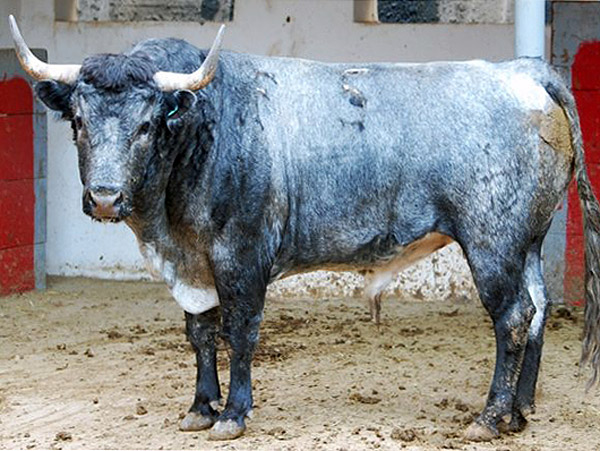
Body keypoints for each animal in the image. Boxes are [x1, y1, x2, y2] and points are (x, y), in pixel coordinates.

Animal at [9, 15, 600, 442]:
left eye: (148, 124)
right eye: (78, 121)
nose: (105, 197)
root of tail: (521, 70)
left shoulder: (241, 256)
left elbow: (238, 331)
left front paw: (233, 414)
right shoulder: (194, 262)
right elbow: (200, 331)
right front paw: (200, 407)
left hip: (491, 242)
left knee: (512, 317)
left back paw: (491, 417)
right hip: (527, 242)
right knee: (538, 309)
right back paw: (520, 411)